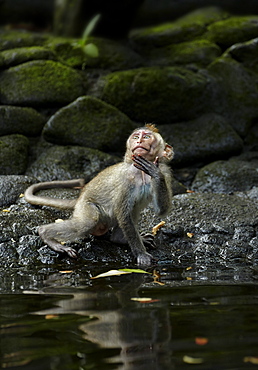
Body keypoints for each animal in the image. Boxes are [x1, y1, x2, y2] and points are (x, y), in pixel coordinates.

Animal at [24, 125, 173, 266]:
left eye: (147, 136)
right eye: (136, 136)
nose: (139, 141)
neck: (140, 172)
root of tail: (80, 197)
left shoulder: (165, 173)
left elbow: (161, 210)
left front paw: (155, 173)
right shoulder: (126, 178)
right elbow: (123, 215)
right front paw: (141, 254)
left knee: (133, 210)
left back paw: (119, 239)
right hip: (86, 206)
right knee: (88, 222)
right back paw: (46, 234)